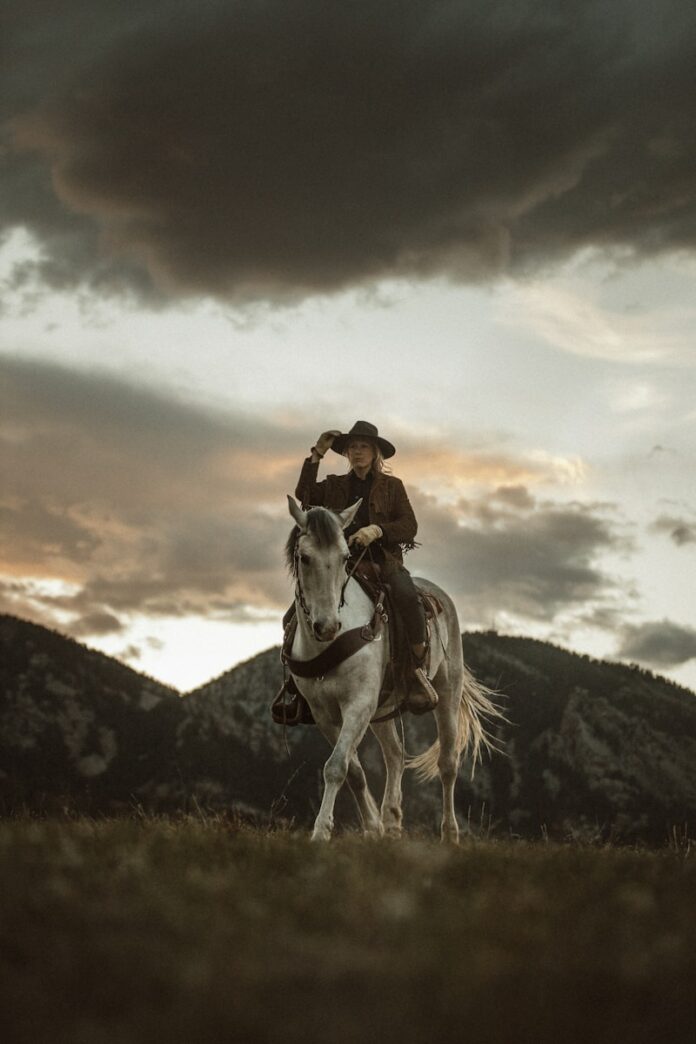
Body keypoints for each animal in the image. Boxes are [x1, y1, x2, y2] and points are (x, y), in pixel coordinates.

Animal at [285, 495, 501, 842]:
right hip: (383, 708)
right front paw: (372, 827)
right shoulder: (324, 713)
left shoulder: (358, 704)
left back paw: (450, 833)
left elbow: (336, 766)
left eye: (346, 557)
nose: (327, 626)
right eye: (304, 557)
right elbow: (353, 770)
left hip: (447, 691)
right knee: (396, 754)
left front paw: (320, 831)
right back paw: (391, 821)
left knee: (448, 763)